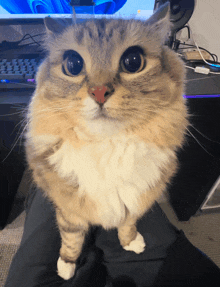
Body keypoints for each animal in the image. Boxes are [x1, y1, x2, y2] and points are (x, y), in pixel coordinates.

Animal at [24, 2, 189, 282]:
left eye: (133, 61)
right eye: (73, 64)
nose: (99, 92)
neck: (108, 147)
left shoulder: (137, 199)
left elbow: (127, 223)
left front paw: (131, 243)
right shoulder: (69, 208)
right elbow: (71, 238)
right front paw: (66, 266)